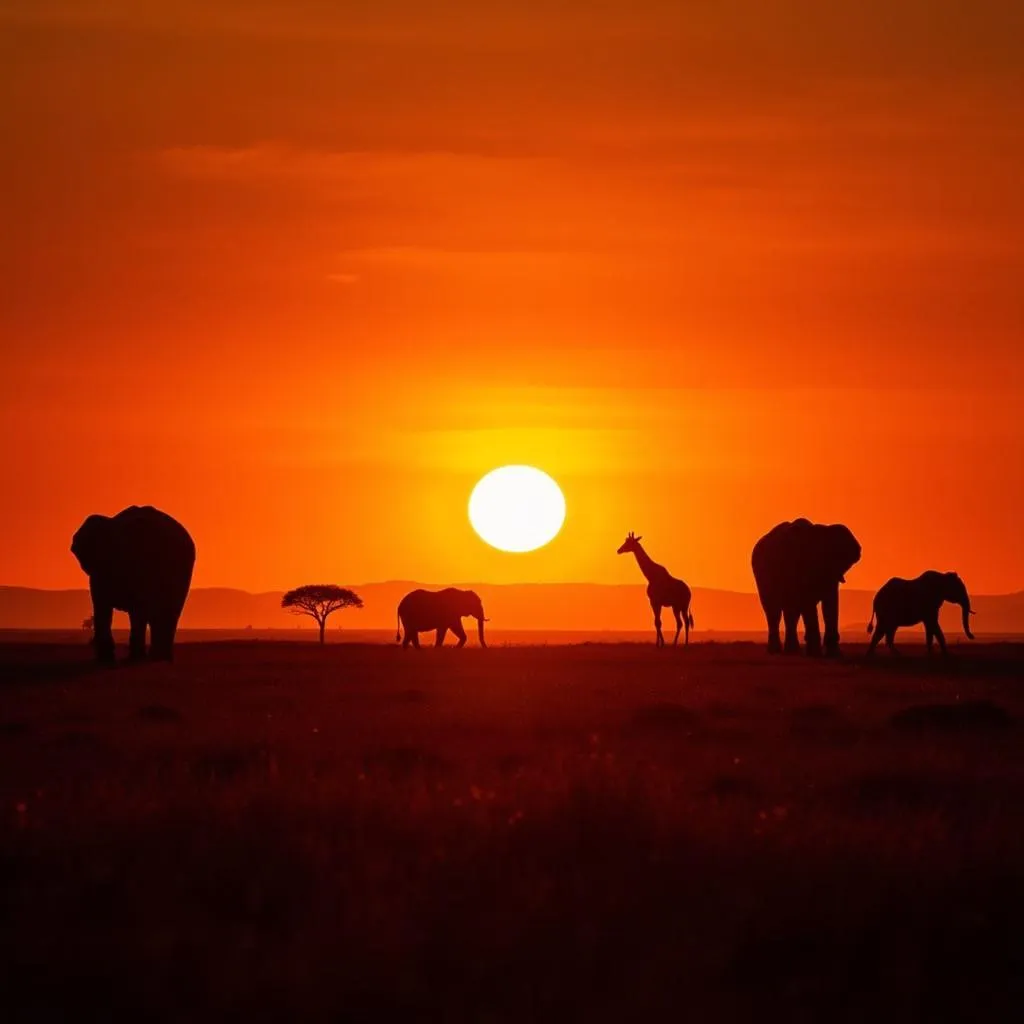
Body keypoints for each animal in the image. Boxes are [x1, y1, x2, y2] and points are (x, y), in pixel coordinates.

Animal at [72, 503, 195, 663]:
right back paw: (159, 658)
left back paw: (143, 658)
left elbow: (101, 603)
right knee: (165, 612)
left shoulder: (100, 567)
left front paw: (105, 660)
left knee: (143, 610)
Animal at [749, 520, 860, 655]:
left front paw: (834, 654)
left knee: (791, 612)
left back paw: (792, 652)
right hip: (763, 577)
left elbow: (830, 602)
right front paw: (816, 654)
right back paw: (777, 651)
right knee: (773, 610)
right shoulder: (802, 566)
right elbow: (809, 602)